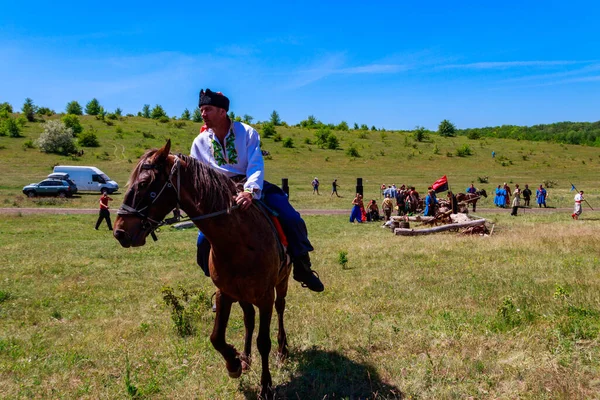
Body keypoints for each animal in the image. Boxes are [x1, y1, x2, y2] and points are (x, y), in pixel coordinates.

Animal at [113, 141, 292, 400]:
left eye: (145, 183)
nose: (120, 232)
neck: (238, 240)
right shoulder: (224, 293)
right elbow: (216, 337)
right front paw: (234, 363)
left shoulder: (265, 297)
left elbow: (264, 342)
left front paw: (266, 386)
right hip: (243, 296)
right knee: (248, 319)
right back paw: (246, 359)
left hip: (282, 283)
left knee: (280, 310)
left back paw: (283, 350)